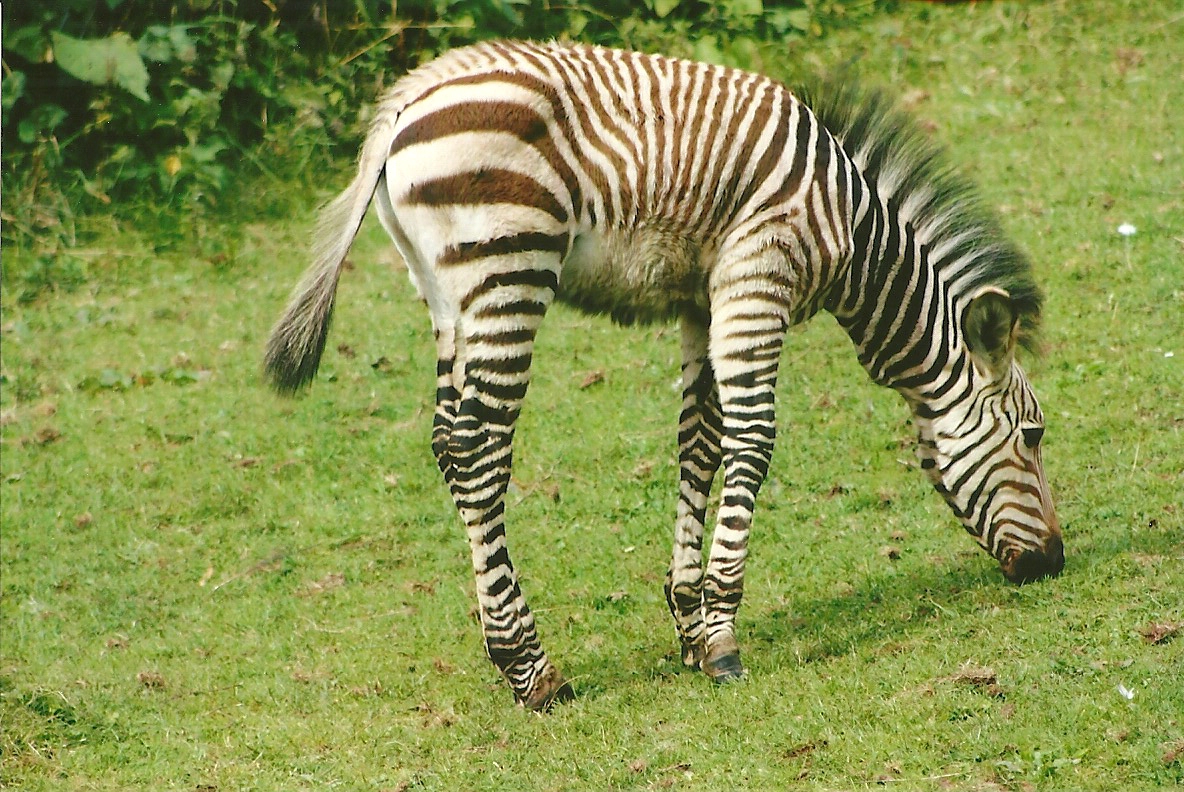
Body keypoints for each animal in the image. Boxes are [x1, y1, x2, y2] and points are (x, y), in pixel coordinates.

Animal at [265, 40, 1064, 710]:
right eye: (1032, 436)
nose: (1055, 562)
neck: (854, 235)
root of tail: (408, 98)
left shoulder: (701, 298)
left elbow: (699, 446)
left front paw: (690, 623)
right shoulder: (758, 275)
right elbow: (753, 440)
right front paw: (723, 639)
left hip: (446, 294)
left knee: (446, 446)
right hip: (510, 269)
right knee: (479, 448)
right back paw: (530, 669)